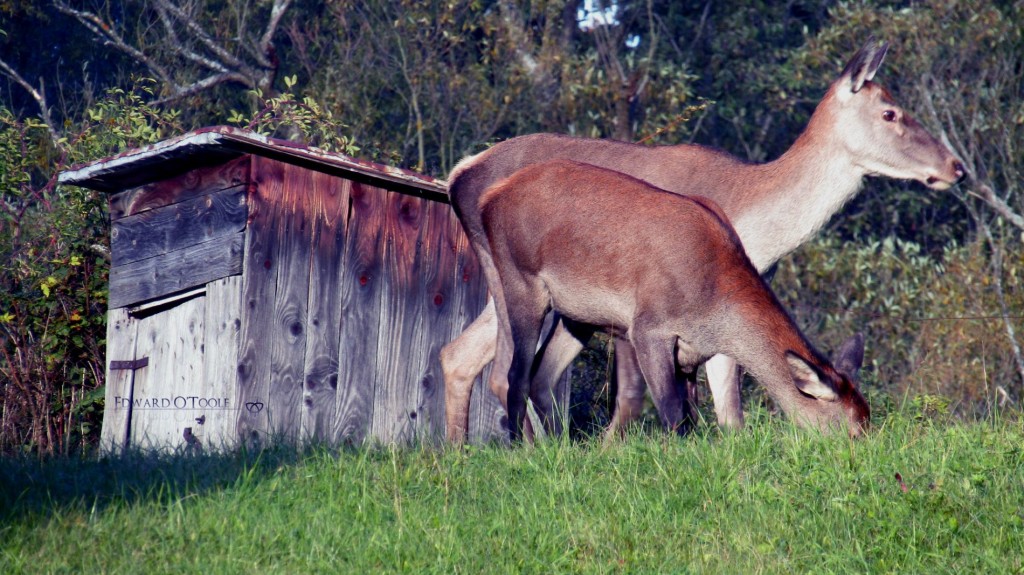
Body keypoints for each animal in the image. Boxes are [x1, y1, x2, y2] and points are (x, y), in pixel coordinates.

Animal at [483, 158, 868, 435]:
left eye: (868, 418)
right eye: (849, 430)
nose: (860, 456)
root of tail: (491, 196)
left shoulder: (690, 353)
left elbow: (692, 415)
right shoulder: (648, 329)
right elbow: (672, 414)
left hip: (578, 316)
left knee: (542, 376)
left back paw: (559, 446)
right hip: (520, 284)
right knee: (515, 375)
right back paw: (521, 448)